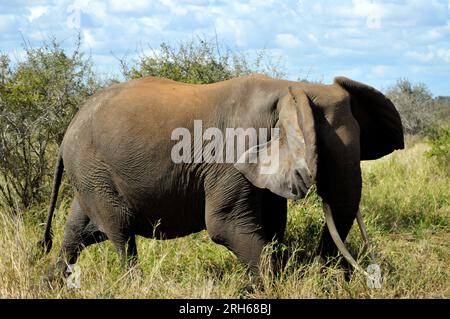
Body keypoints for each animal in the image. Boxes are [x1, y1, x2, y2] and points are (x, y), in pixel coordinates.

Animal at [39, 74, 404, 278]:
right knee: (120, 234)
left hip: (90, 174)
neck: (293, 87)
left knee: (79, 232)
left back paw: (52, 283)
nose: (321, 271)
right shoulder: (232, 155)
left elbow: (272, 224)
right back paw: (134, 284)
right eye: (325, 151)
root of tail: (69, 127)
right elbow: (225, 225)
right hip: (93, 169)